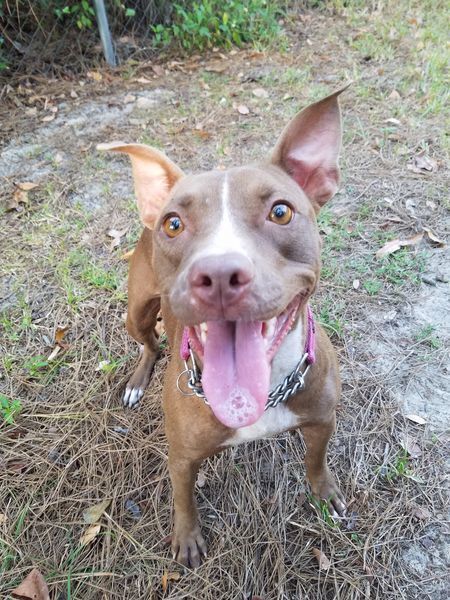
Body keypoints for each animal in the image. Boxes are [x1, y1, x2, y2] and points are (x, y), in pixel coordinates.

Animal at [99, 88, 348, 568]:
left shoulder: (322, 419)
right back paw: (138, 381)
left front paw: (324, 491)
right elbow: (183, 498)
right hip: (136, 312)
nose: (217, 275)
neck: (263, 395)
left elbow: (316, 459)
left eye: (281, 212)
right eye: (174, 223)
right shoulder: (181, 457)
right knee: (150, 344)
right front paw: (187, 537)